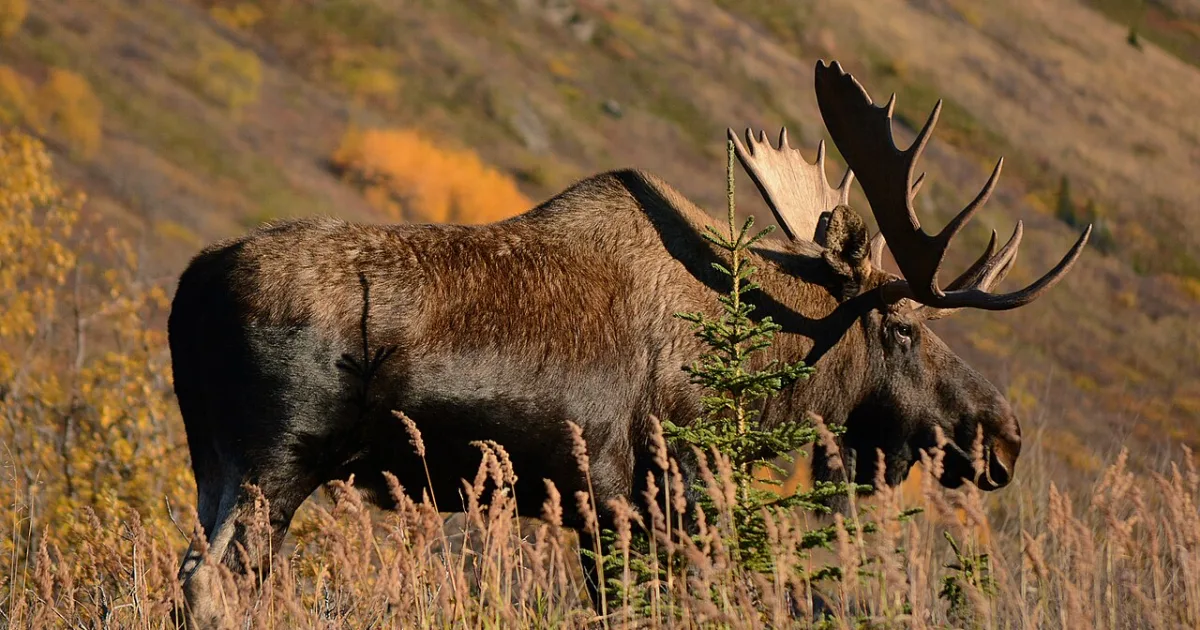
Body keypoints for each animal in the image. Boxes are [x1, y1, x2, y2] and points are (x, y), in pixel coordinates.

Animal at [171, 60, 1090, 627]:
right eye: (904, 328)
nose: (1003, 436)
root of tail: (189, 291)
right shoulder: (645, 497)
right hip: (276, 461)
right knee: (214, 585)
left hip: (214, 461)